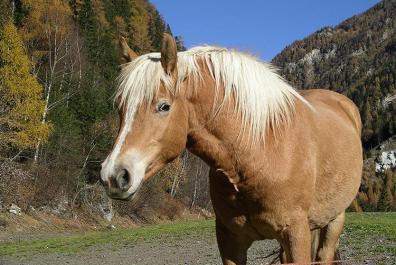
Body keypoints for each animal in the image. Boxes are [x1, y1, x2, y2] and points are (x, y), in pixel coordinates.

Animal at [99, 34, 362, 262]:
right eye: (120, 107)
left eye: (163, 106)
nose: (113, 175)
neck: (262, 151)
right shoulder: (230, 240)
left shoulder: (296, 235)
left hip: (334, 221)